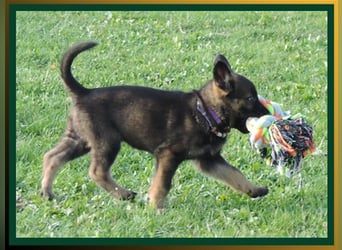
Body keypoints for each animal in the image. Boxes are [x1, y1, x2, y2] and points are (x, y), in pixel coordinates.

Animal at [40, 42, 270, 208]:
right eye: (251, 98)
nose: (268, 114)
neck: (205, 113)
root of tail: (83, 92)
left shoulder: (208, 159)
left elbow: (234, 173)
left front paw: (254, 190)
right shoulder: (169, 155)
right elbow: (162, 184)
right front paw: (156, 207)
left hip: (79, 139)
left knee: (52, 157)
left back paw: (47, 192)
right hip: (107, 141)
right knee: (97, 171)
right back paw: (123, 194)